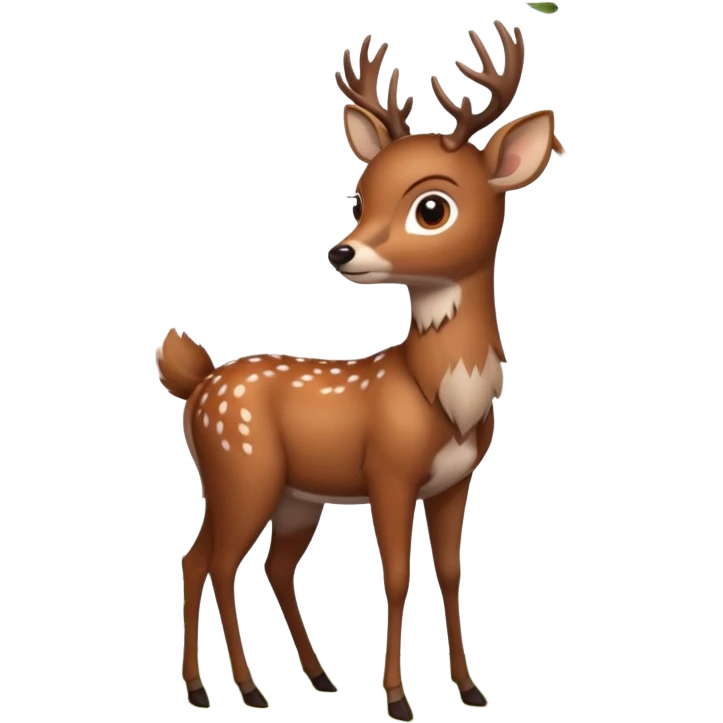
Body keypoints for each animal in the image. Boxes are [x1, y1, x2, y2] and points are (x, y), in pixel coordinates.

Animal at [156, 20, 566, 720]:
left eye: (432, 208)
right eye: (360, 194)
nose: (341, 252)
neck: (441, 397)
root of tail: (200, 382)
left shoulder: (455, 482)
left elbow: (451, 574)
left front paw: (470, 689)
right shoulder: (389, 473)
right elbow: (397, 577)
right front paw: (398, 700)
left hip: (296, 496)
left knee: (268, 565)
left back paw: (309, 678)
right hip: (239, 472)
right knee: (207, 560)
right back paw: (230, 689)